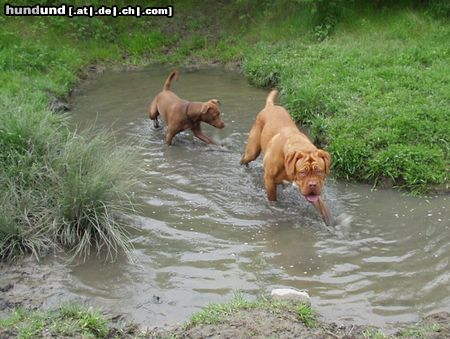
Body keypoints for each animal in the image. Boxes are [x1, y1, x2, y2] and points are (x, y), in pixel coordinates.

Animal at [241, 90, 332, 226]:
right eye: (302, 172)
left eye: (319, 171)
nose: (312, 185)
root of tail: (270, 106)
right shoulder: (269, 180)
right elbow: (272, 200)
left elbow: (323, 208)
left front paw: (331, 224)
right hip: (253, 151)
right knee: (245, 158)